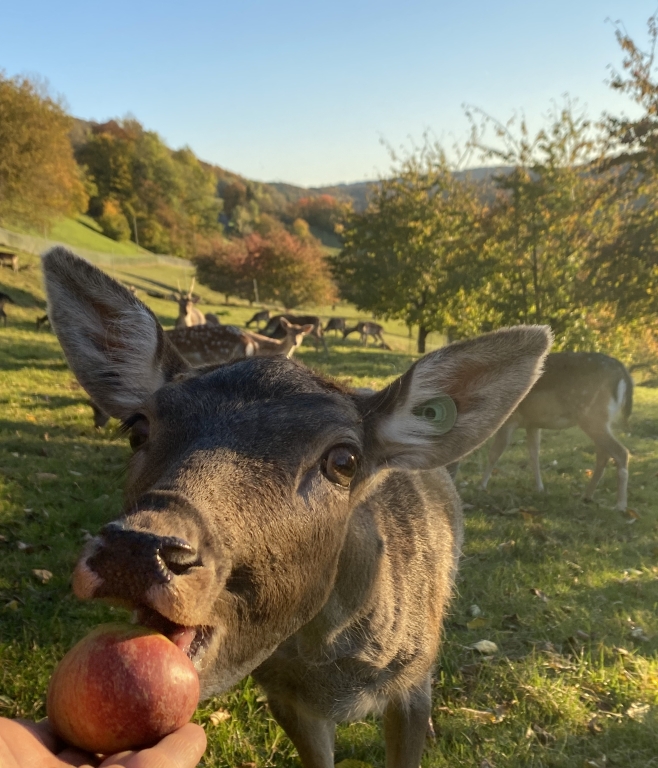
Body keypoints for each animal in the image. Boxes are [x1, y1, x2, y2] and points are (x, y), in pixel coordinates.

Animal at [41, 243, 552, 768]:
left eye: (345, 460)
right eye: (138, 427)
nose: (138, 548)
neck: (331, 664)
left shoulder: (409, 684)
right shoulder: (282, 694)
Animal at [476, 352, 632, 510]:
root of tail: (623, 372)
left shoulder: (510, 420)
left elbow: (494, 453)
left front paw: (481, 486)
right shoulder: (532, 424)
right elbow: (534, 454)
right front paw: (540, 488)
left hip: (593, 416)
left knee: (621, 452)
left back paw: (620, 505)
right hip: (601, 420)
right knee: (603, 455)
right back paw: (586, 496)